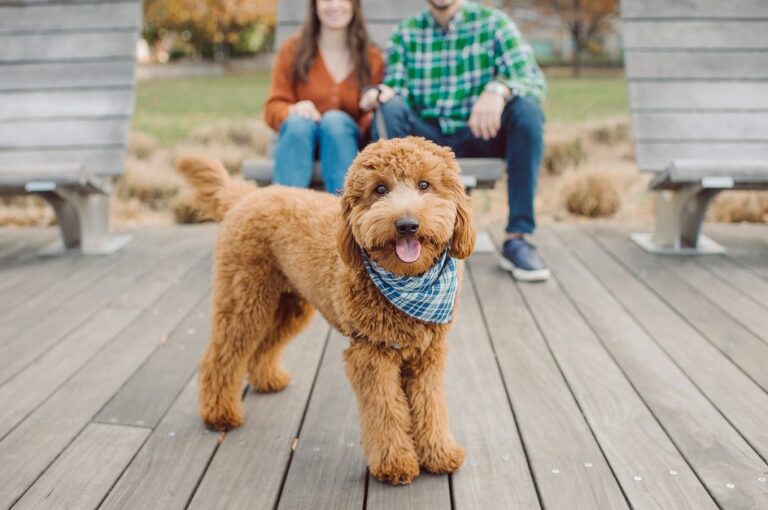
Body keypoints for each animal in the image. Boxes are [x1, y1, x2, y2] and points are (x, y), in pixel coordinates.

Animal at [177, 136, 474, 486]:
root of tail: (248, 195)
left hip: (289, 305)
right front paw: (395, 463)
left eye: (424, 184)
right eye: (380, 189)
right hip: (244, 299)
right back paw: (219, 413)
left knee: (264, 345)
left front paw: (439, 453)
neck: (409, 282)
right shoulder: (372, 354)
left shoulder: (428, 354)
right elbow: (386, 410)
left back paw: (268, 379)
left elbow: (431, 405)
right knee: (222, 356)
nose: (406, 225)